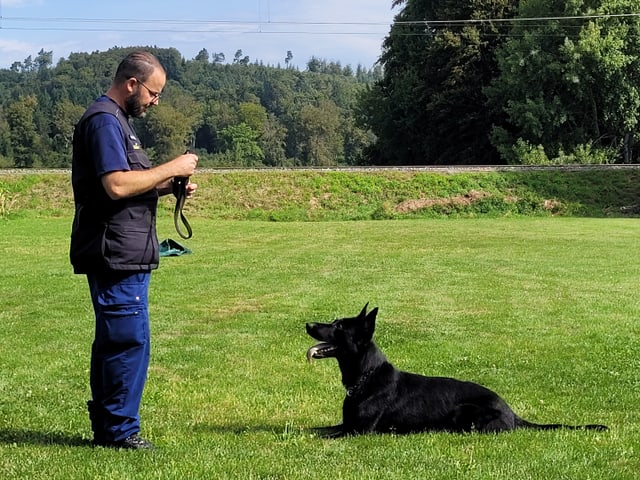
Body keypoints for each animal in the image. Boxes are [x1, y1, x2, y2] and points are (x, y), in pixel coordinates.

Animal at [304, 306, 604, 436]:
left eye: (339, 327)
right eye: (334, 321)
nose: (308, 324)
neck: (366, 377)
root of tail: (512, 413)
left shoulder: (357, 432)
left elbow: (315, 434)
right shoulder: (346, 426)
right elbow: (313, 429)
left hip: (464, 411)